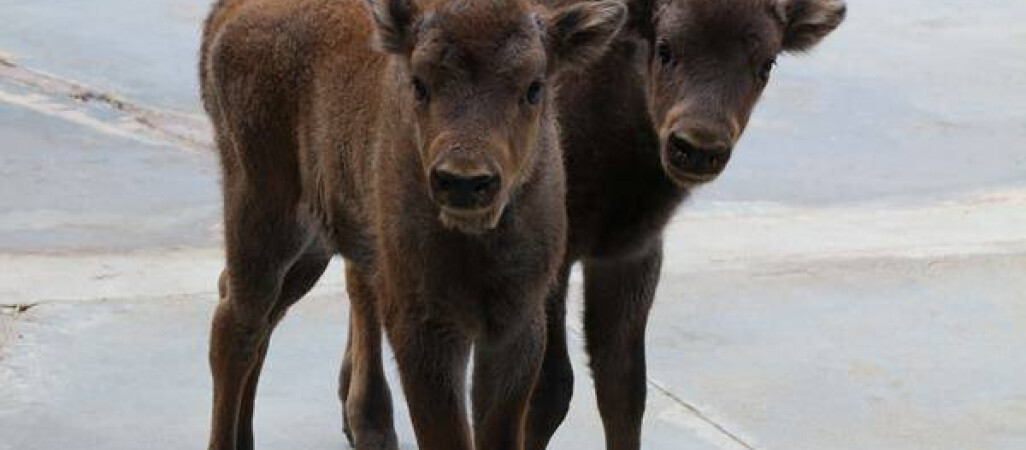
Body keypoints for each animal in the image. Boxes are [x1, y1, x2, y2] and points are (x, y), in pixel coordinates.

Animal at [194, 0, 619, 450]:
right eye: (419, 83)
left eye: (534, 87)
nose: (463, 180)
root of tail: (227, 14)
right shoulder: (422, 327)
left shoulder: (516, 326)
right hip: (263, 220)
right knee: (235, 327)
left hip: (312, 248)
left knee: (257, 316)